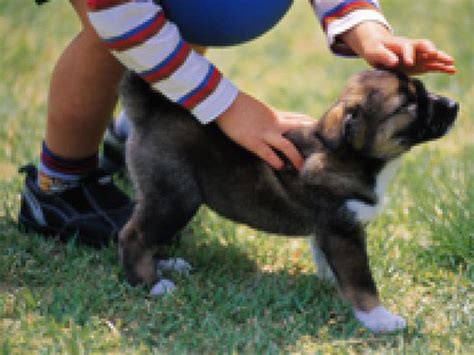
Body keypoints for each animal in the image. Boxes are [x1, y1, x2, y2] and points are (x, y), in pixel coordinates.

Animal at [116, 70, 458, 334]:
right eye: (410, 105)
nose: (454, 104)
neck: (354, 157)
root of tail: (150, 110)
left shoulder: (329, 230)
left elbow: (329, 262)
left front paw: (331, 282)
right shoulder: (343, 232)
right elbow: (361, 281)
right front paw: (380, 319)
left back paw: (166, 263)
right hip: (175, 198)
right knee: (133, 234)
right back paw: (151, 284)